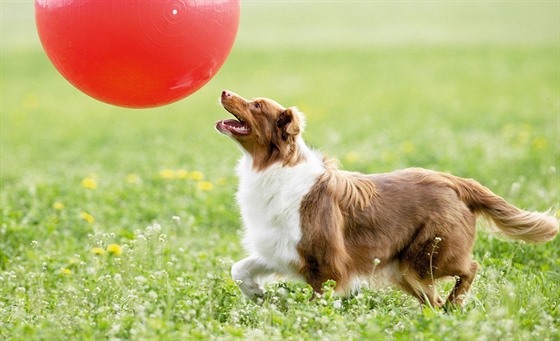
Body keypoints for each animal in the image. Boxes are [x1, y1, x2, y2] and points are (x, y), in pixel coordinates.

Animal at [213, 90, 556, 308]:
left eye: (257, 105)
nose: (224, 91)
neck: (274, 166)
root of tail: (454, 181)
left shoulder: (327, 265)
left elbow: (315, 306)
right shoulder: (282, 248)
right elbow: (239, 269)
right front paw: (259, 295)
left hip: (428, 257)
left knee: (470, 267)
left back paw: (456, 302)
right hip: (406, 269)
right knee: (434, 301)